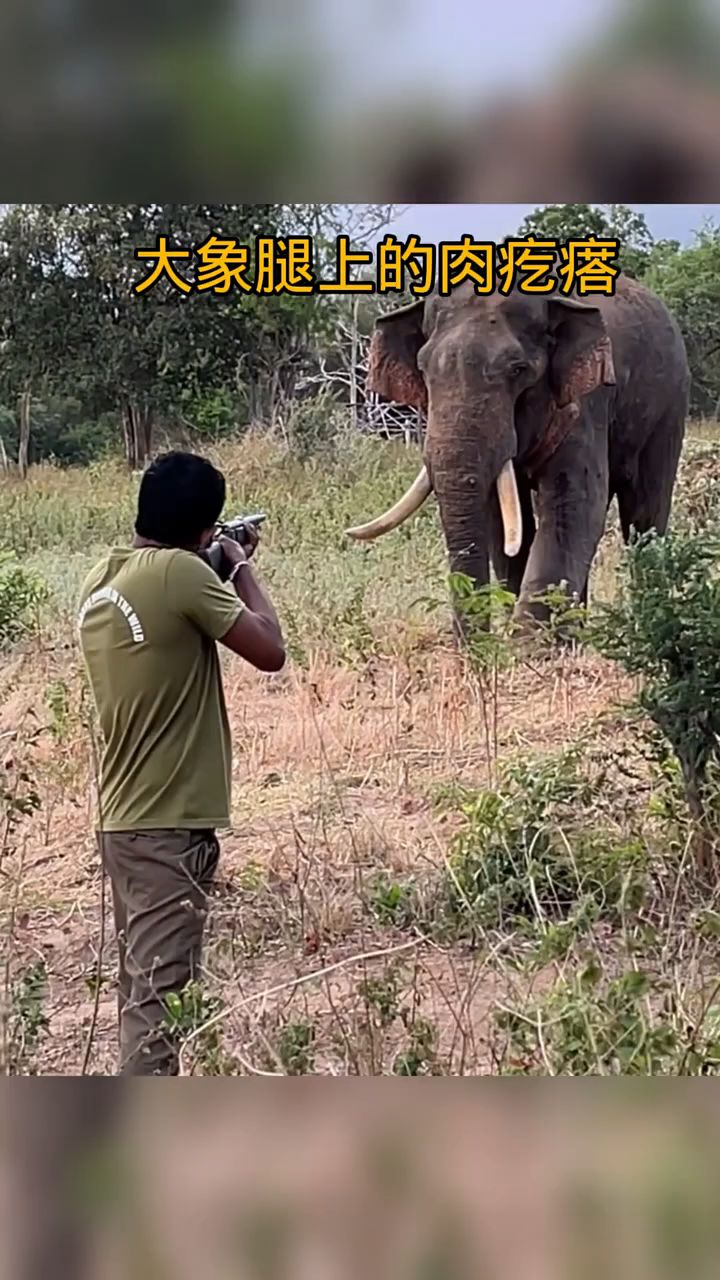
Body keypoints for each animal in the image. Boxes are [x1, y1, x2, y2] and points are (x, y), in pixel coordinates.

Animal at [345, 273, 690, 631]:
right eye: (423, 370)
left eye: (517, 370)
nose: (471, 646)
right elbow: (505, 524)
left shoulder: (585, 404)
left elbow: (573, 506)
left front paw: (528, 642)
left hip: (670, 406)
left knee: (645, 513)